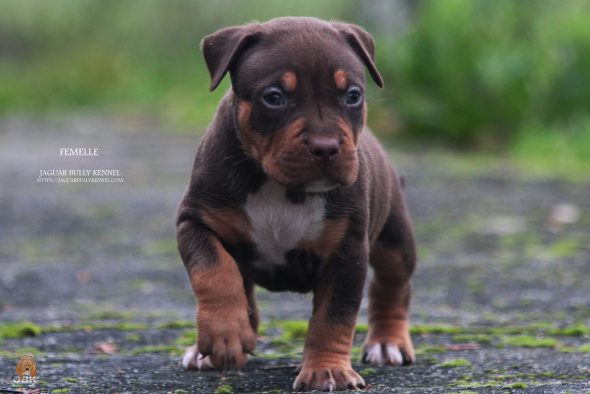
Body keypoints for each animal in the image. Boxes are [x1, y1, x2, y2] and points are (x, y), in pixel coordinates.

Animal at [178, 17, 418, 390]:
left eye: (353, 96)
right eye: (274, 98)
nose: (326, 146)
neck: (282, 188)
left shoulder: (348, 251)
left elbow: (333, 318)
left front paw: (328, 370)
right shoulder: (194, 222)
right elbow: (214, 271)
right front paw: (225, 333)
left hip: (395, 240)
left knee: (393, 286)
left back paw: (387, 342)